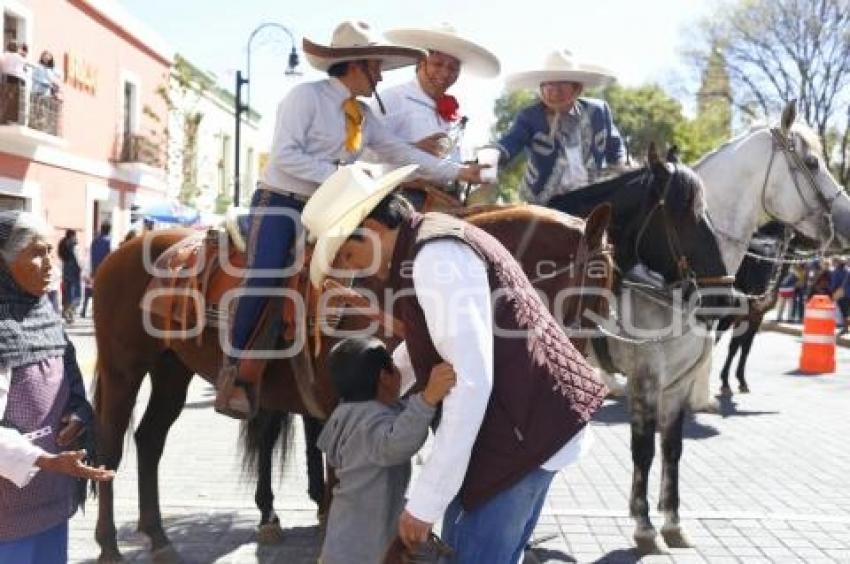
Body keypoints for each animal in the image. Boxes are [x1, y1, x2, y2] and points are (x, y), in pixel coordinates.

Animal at [91, 203, 608, 560]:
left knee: (150, 441)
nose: (592, 367)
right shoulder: (347, 405)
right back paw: (110, 544)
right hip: (123, 370)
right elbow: (342, 478)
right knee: (110, 452)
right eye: (597, 280)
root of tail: (124, 250)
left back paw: (158, 536)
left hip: (170, 370)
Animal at [596, 100, 848, 552]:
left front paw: (672, 522)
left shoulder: (678, 377)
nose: (843, 224)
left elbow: (672, 447)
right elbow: (643, 449)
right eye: (811, 162)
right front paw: (643, 526)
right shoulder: (646, 377)